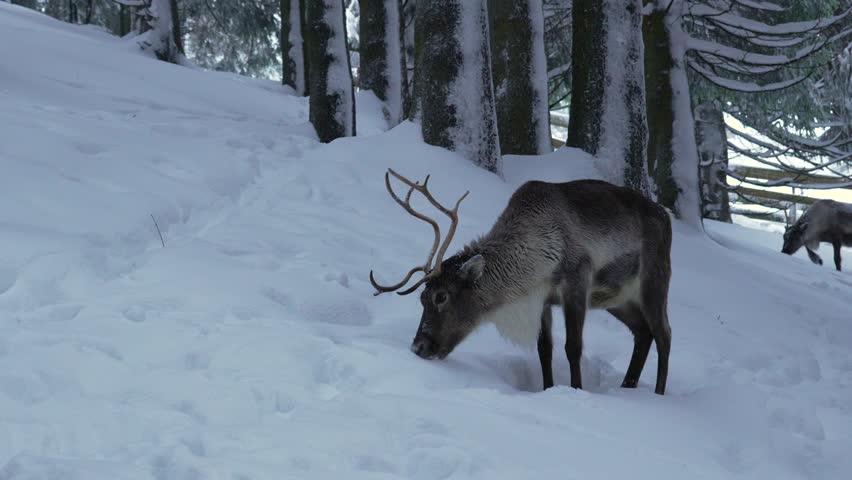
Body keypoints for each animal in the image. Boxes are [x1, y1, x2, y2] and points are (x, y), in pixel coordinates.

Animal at [370, 169, 673, 395]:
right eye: (421, 297)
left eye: (441, 296)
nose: (418, 347)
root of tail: (665, 215)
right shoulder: (542, 299)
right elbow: (544, 350)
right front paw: (548, 389)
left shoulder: (577, 282)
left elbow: (573, 347)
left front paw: (576, 390)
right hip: (616, 298)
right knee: (642, 332)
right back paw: (628, 387)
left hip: (654, 279)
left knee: (663, 333)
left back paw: (658, 394)